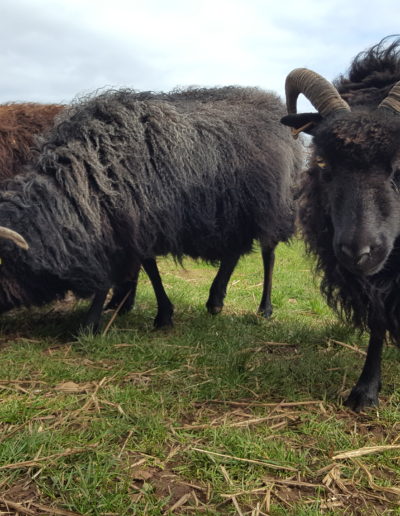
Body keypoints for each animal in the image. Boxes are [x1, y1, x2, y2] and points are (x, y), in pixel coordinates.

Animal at [0, 85, 302, 330]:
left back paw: (264, 309)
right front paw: (155, 313)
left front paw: (91, 324)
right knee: (233, 252)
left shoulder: (130, 223)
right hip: (235, 213)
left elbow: (132, 269)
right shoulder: (129, 223)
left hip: (274, 205)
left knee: (268, 255)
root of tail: (273, 102)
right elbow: (147, 267)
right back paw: (215, 300)